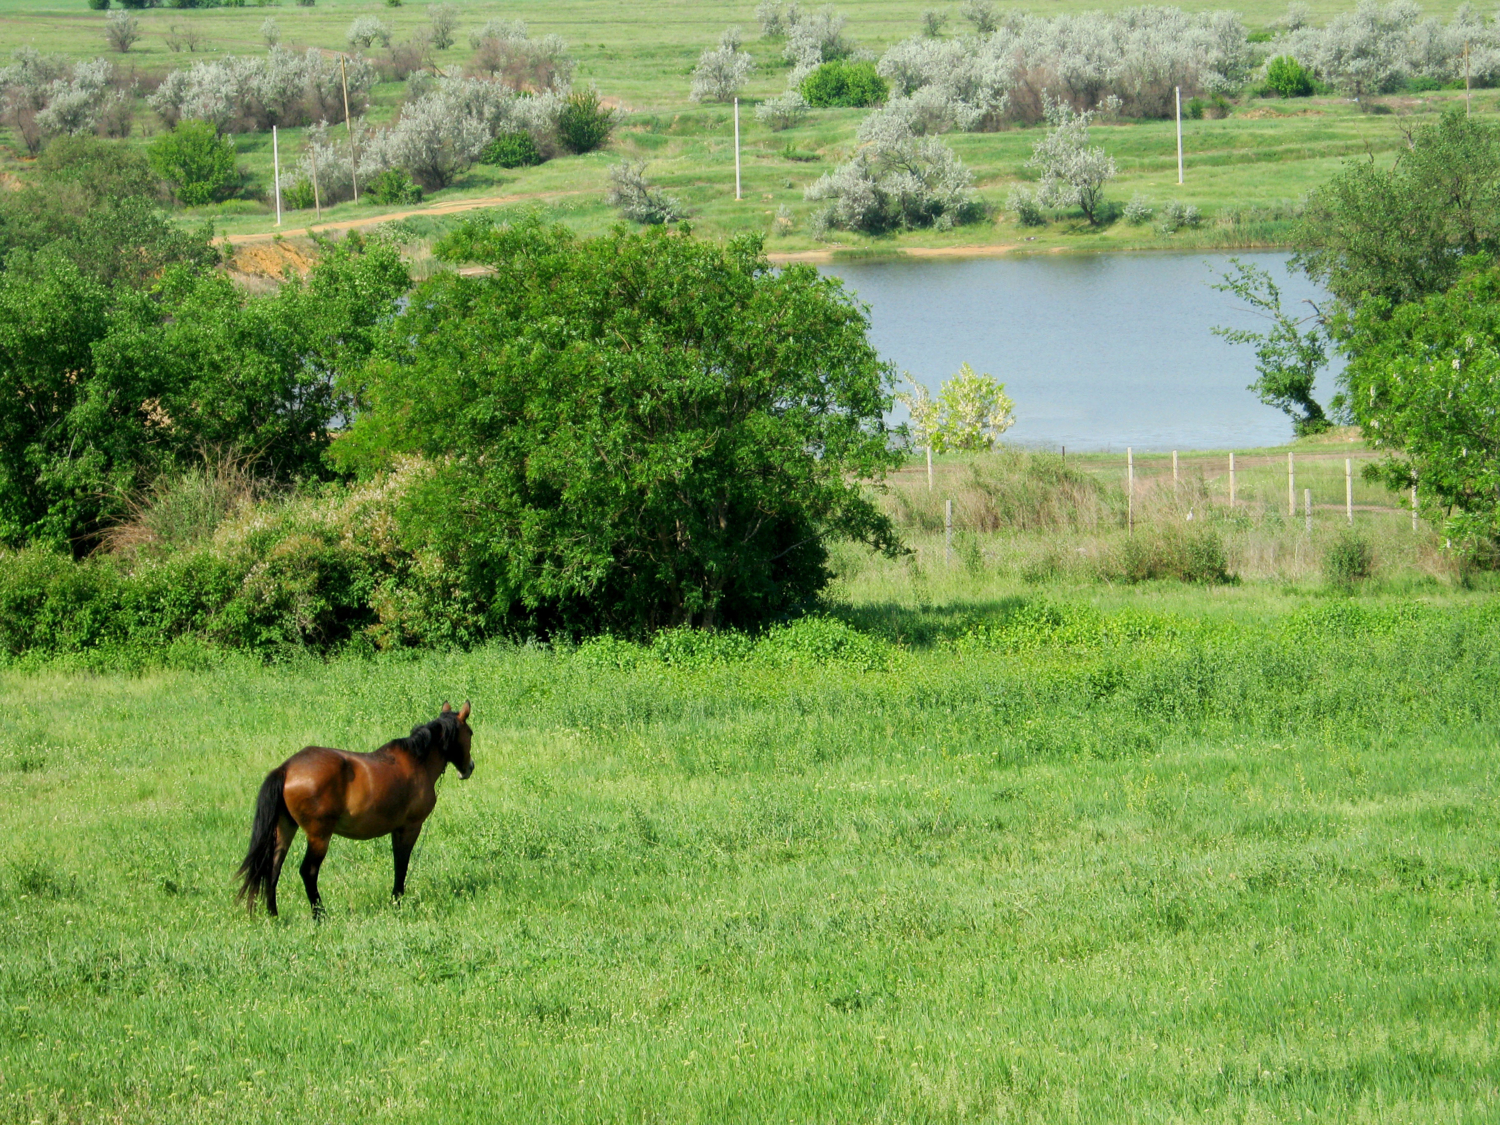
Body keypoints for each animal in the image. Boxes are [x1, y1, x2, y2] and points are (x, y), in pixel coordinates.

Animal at [237, 702, 471, 918]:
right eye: (470, 733)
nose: (469, 768)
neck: (416, 762)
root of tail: (286, 768)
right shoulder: (410, 827)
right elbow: (401, 865)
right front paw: (396, 902)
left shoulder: (397, 829)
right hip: (319, 835)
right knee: (308, 871)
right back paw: (320, 915)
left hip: (285, 828)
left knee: (273, 868)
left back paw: (273, 914)